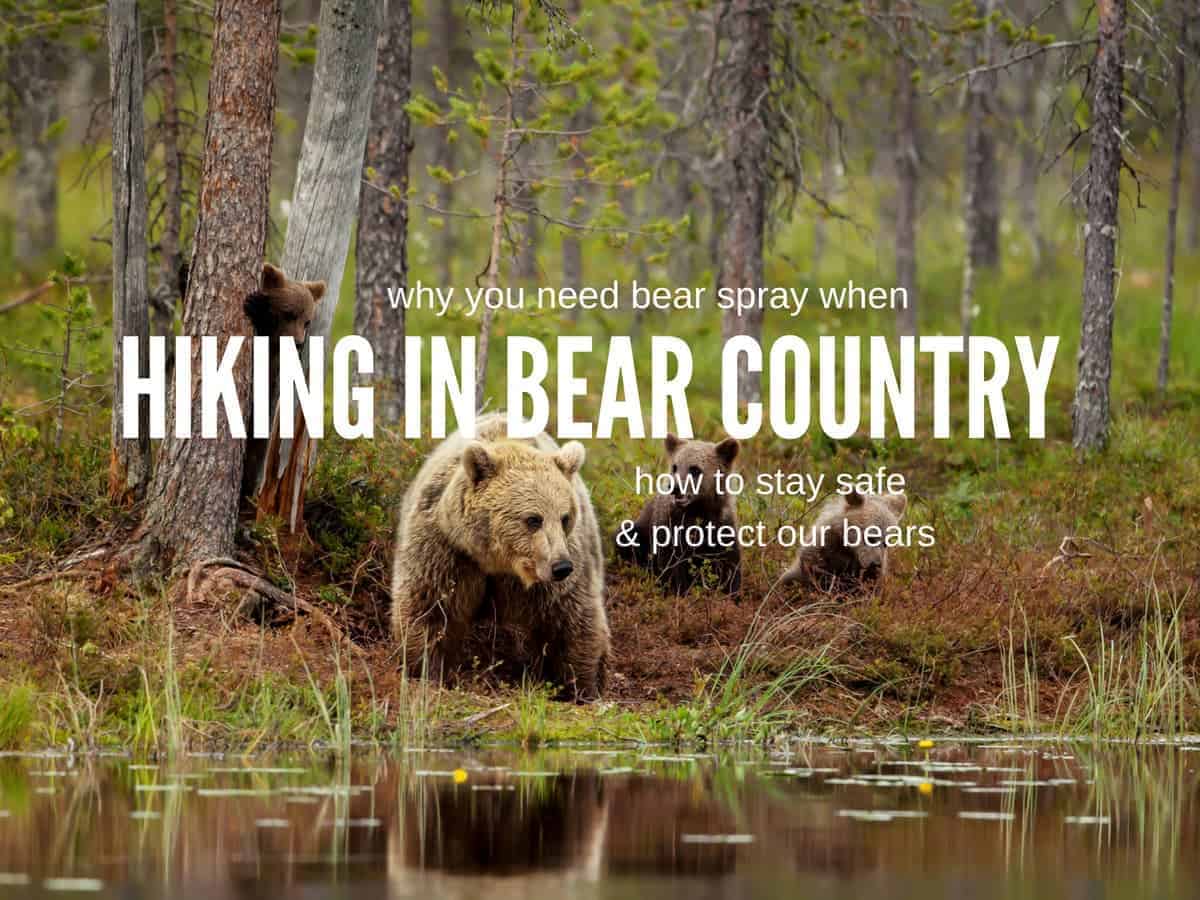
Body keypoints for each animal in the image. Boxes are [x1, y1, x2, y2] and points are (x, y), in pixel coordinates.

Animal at [390, 413, 610, 700]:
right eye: (533, 519)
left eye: (565, 517)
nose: (561, 566)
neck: (498, 562)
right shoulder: (447, 549)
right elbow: (429, 605)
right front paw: (426, 671)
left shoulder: (566, 563)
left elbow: (571, 618)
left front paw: (578, 685)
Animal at [616, 433, 742, 597]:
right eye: (675, 466)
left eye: (695, 469)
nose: (675, 487)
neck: (698, 509)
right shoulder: (670, 525)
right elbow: (672, 565)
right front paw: (680, 592)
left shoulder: (722, 523)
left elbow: (729, 562)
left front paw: (732, 593)